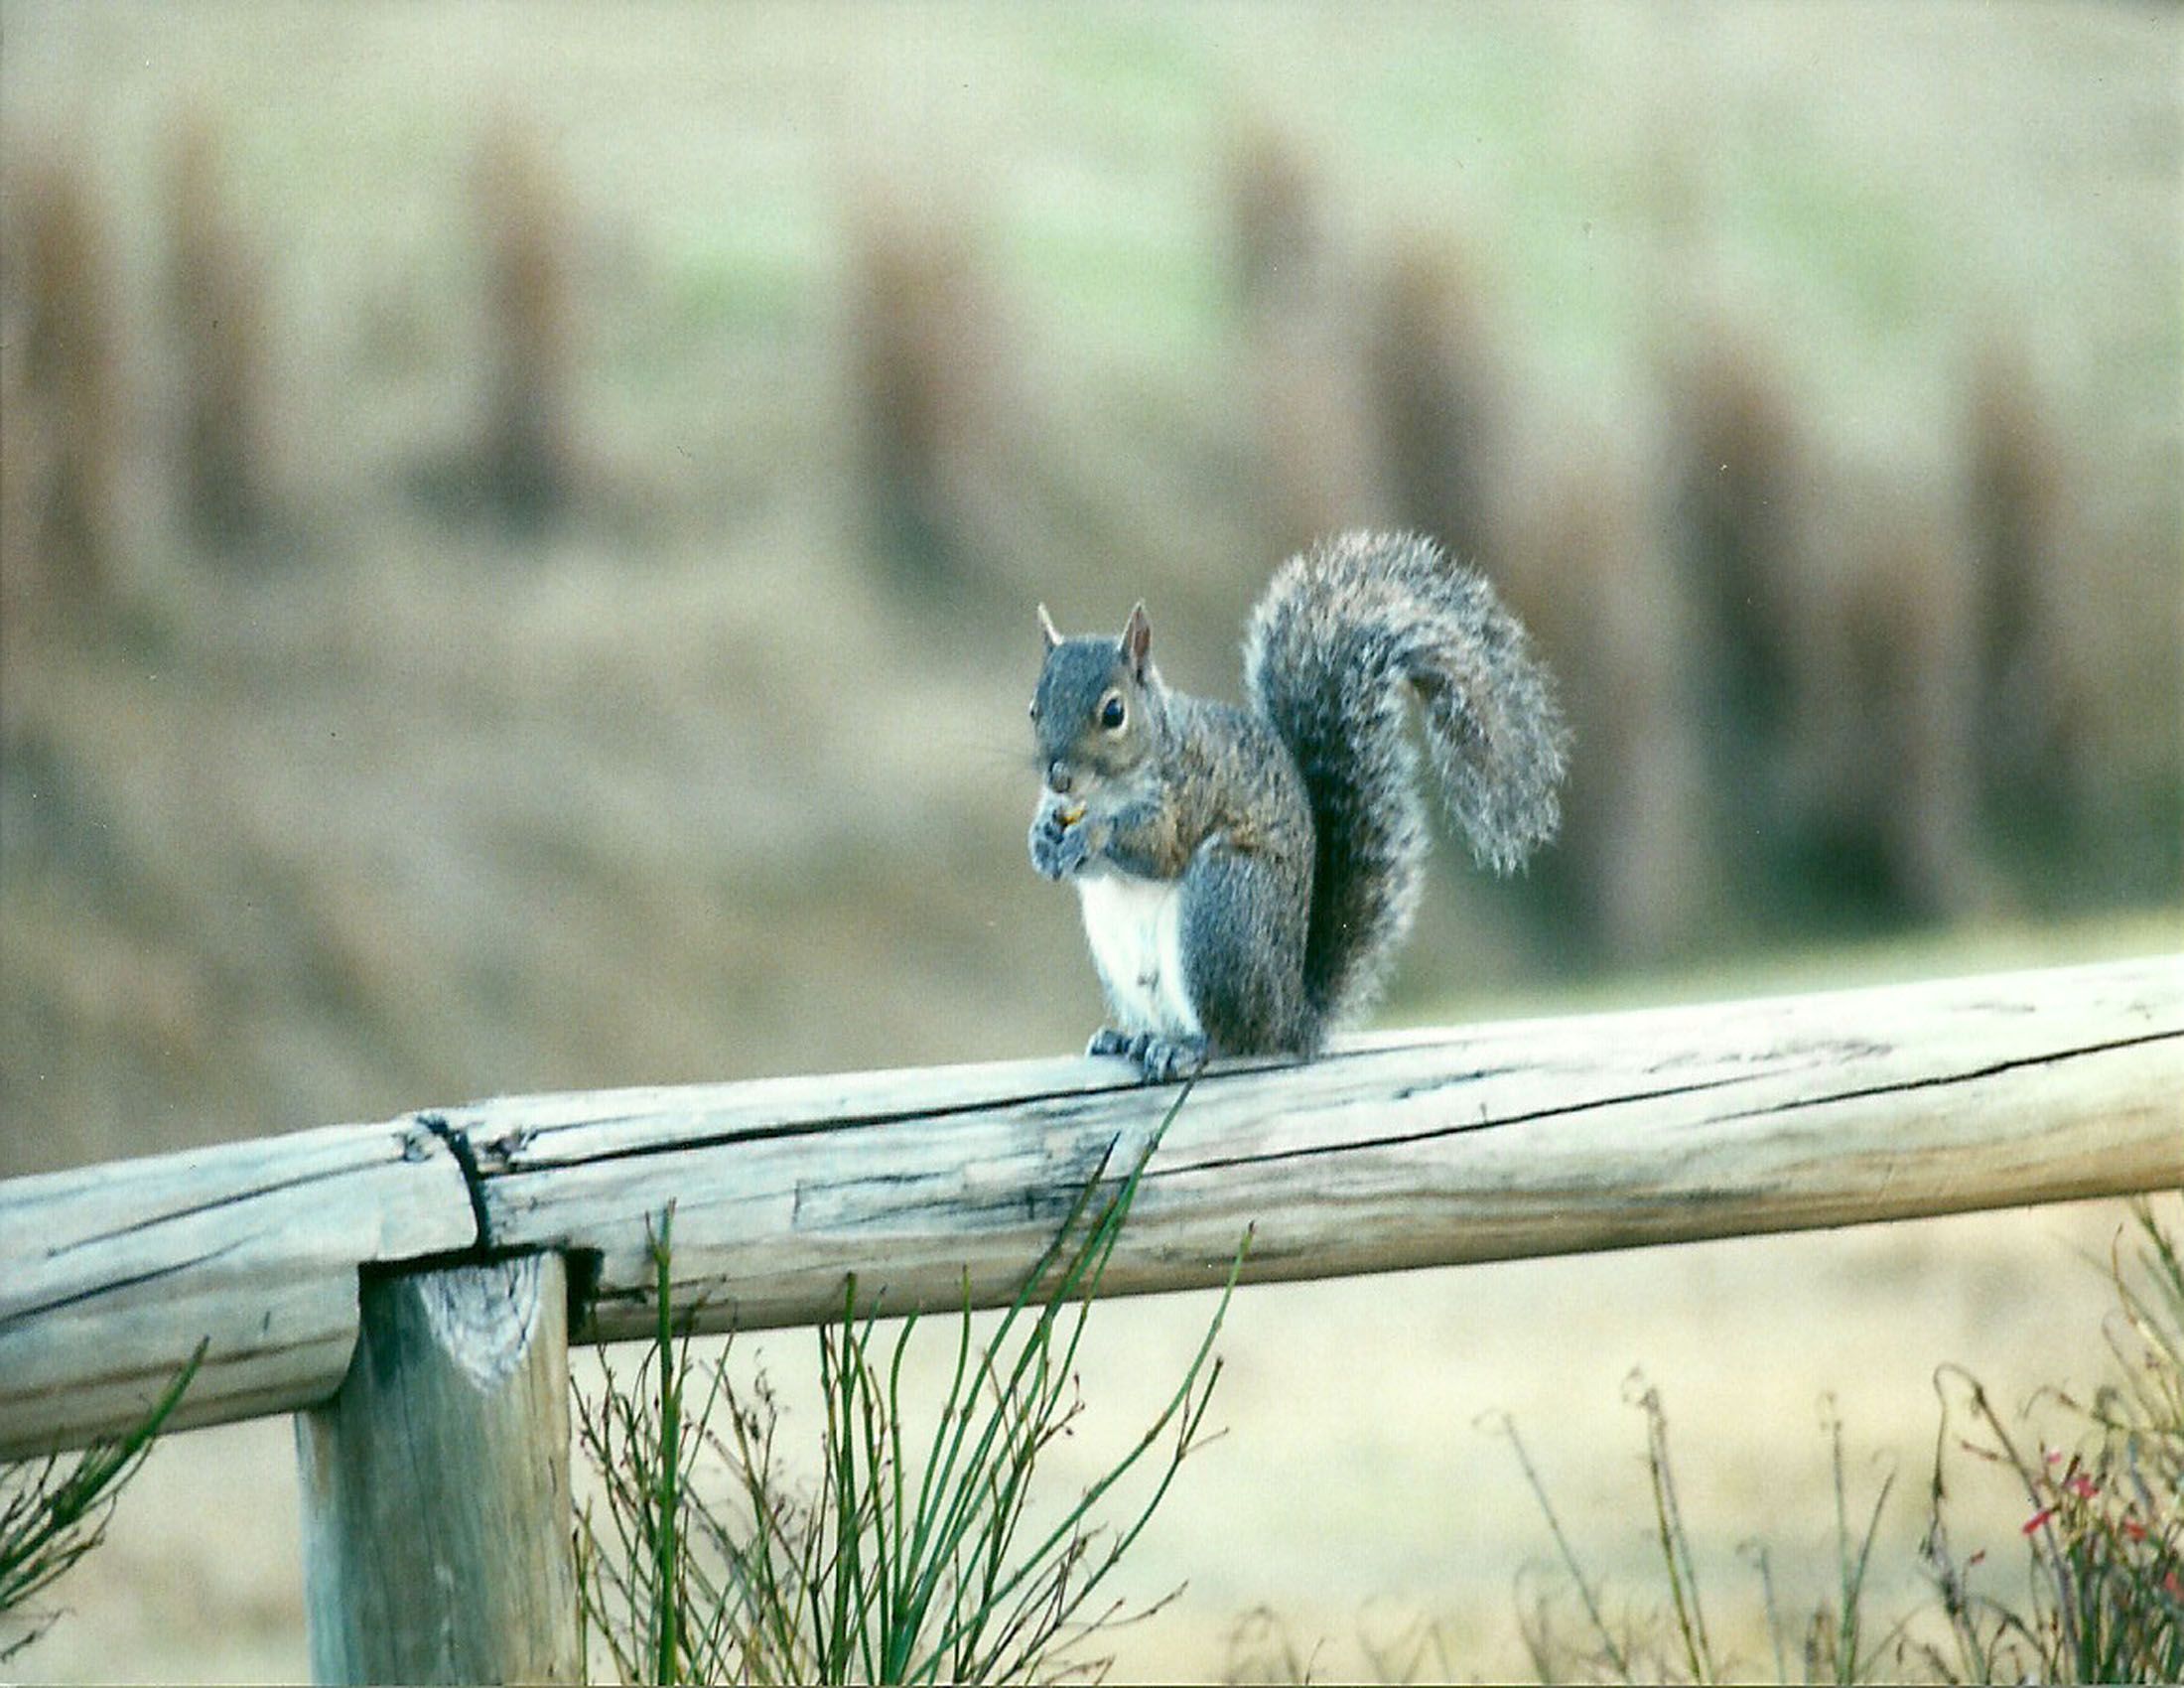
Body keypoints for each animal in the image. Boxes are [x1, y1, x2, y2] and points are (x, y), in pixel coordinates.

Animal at [1028, 529, 1568, 1082]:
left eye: (1113, 712)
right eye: (1034, 709)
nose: (1059, 776)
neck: (1107, 789)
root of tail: (1291, 1015)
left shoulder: (1191, 791)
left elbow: (1159, 847)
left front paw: (1093, 833)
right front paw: (1044, 839)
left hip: (1224, 906)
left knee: (1234, 1037)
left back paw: (1185, 1047)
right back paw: (1127, 1037)